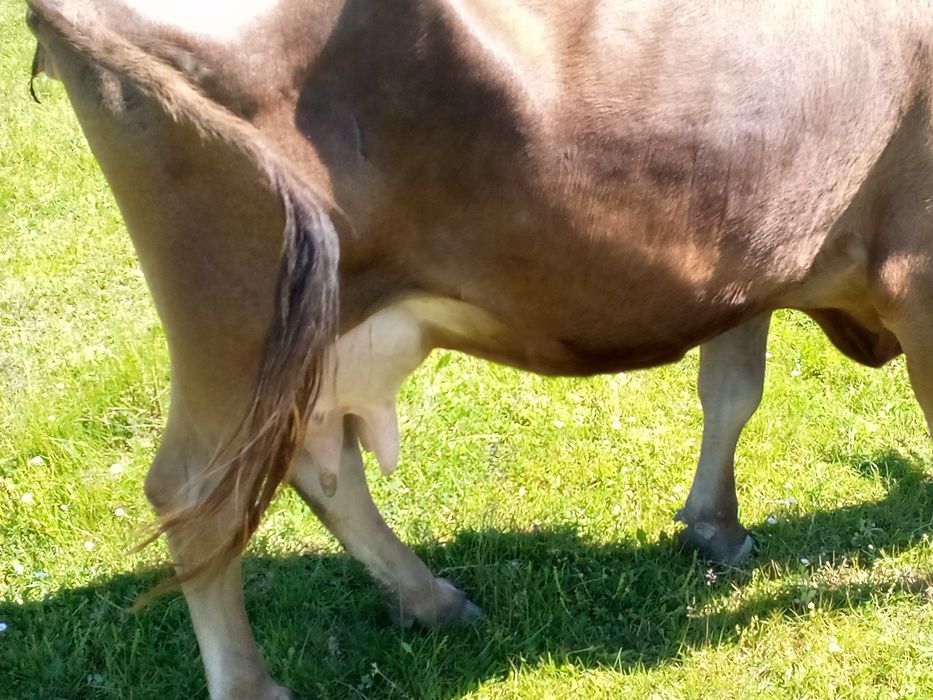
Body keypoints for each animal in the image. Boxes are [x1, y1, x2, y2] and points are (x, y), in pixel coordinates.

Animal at [25, 0, 927, 697]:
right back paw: (254, 684)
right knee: (195, 491)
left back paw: (429, 600)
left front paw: (715, 528)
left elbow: (732, 392)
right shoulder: (911, 276)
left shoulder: (754, 253)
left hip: (314, 324)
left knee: (317, 457)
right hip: (233, 306)